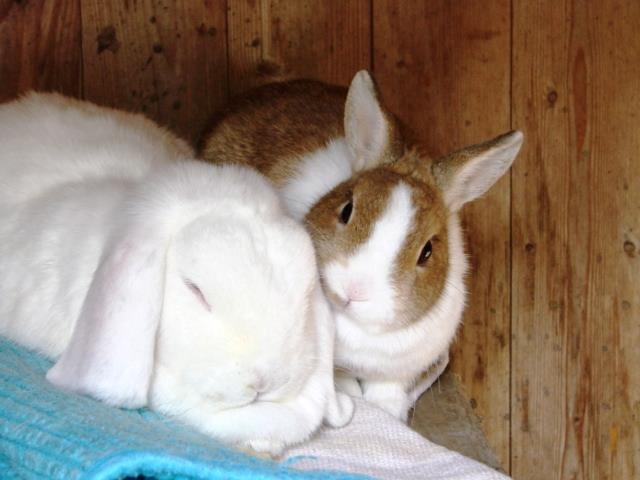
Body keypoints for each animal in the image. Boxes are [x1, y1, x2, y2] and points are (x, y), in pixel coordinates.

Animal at [201, 71, 523, 421]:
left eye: (427, 252)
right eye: (346, 209)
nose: (353, 290)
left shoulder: (400, 370)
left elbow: (388, 390)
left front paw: (387, 411)